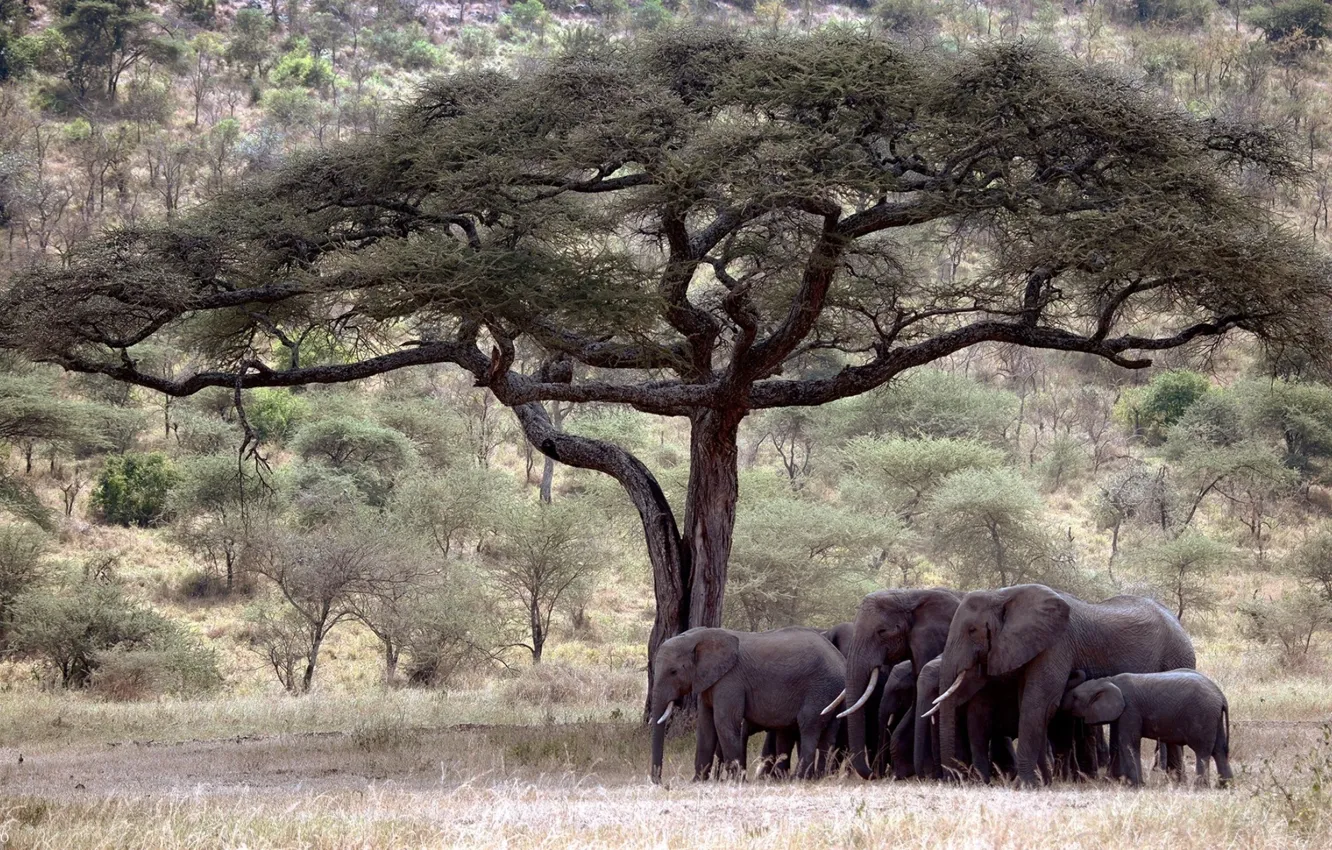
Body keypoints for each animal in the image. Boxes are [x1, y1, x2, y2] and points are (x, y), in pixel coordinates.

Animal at [647, 626, 841, 788]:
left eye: (673, 672)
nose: (661, 783)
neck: (699, 636)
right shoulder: (708, 680)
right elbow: (705, 726)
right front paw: (697, 781)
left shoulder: (730, 680)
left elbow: (724, 722)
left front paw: (736, 781)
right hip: (830, 691)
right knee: (828, 733)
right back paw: (820, 778)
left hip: (819, 688)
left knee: (809, 726)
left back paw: (798, 779)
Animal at [927, 588, 1198, 788]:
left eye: (972, 630)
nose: (955, 780)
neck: (1002, 594)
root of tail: (1178, 622)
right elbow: (1033, 705)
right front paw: (1042, 781)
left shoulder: (1057, 645)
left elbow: (1039, 704)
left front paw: (1025, 785)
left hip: (1177, 655)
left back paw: (1173, 782)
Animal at [1060, 671, 1236, 794]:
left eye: (1075, 697)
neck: (1108, 680)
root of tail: (1221, 697)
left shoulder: (1130, 709)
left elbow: (1128, 743)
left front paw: (1136, 786)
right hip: (1215, 719)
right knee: (1219, 751)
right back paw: (1225, 786)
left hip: (1202, 716)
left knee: (1203, 751)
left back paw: (1200, 788)